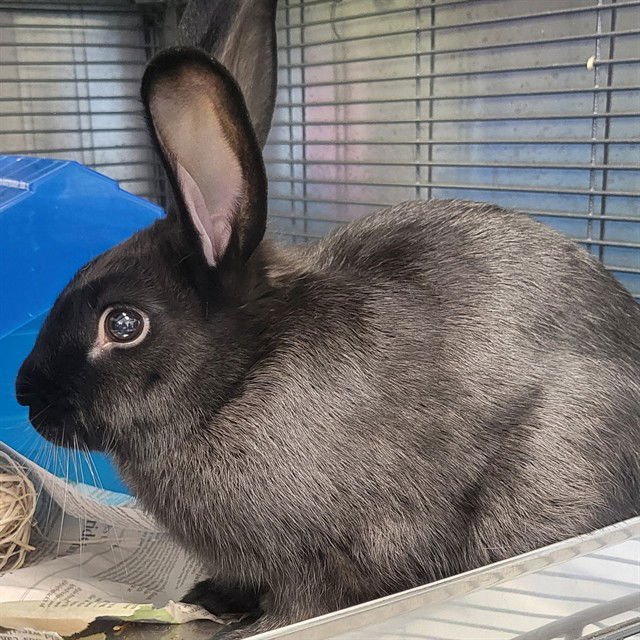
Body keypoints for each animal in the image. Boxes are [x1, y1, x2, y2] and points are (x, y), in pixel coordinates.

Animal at [15, 1, 640, 638]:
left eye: (123, 325)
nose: (25, 395)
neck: (238, 383)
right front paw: (210, 595)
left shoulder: (328, 555)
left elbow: (304, 603)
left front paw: (250, 627)